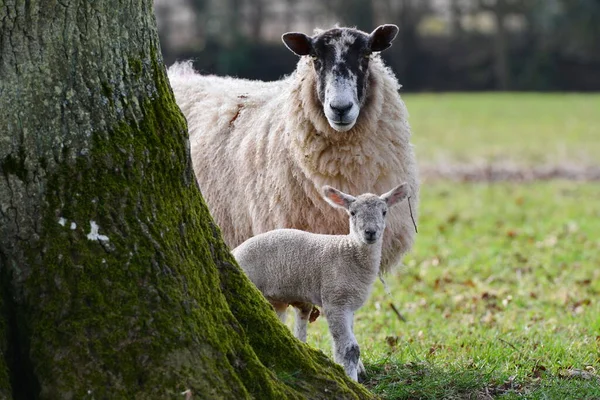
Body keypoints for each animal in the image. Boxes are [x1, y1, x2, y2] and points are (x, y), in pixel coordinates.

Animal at [232, 183, 410, 380]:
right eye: (352, 213)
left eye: (384, 212)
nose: (370, 232)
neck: (349, 252)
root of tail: (233, 252)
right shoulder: (335, 299)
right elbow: (350, 349)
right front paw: (352, 379)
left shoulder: (349, 304)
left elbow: (342, 345)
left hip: (276, 298)